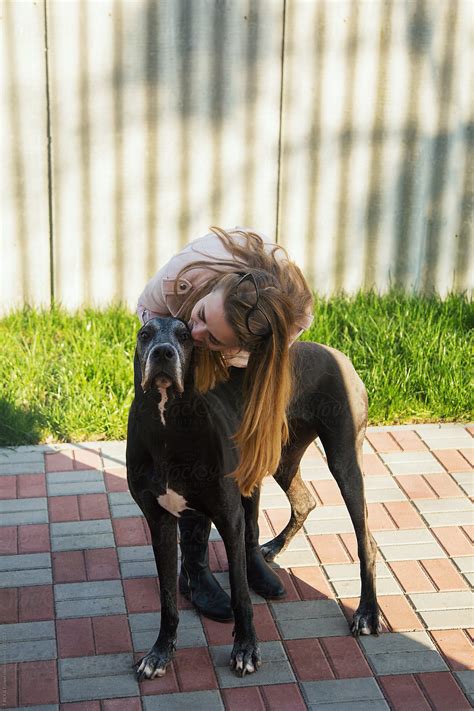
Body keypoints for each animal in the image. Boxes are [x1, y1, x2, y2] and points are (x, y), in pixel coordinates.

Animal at [126, 320, 382, 680]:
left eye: (185, 335)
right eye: (145, 334)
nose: (163, 353)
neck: (168, 424)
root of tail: (337, 353)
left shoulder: (229, 517)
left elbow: (241, 594)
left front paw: (246, 648)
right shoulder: (158, 520)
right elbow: (167, 600)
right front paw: (160, 652)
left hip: (344, 459)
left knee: (365, 539)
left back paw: (367, 612)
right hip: (283, 458)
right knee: (305, 501)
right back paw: (273, 546)